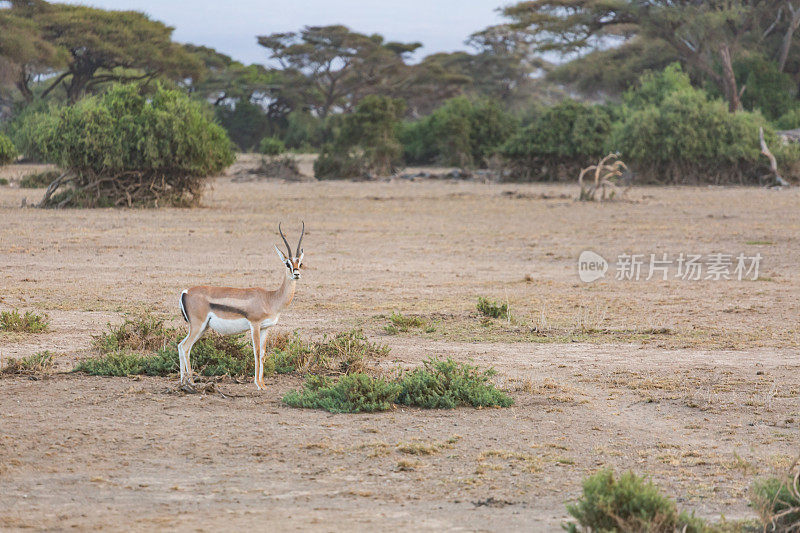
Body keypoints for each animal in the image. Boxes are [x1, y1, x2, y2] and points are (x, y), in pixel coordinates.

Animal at [179, 222, 306, 388]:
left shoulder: (265, 328)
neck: (270, 298)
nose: (296, 274)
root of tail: (185, 291)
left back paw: (183, 381)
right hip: (197, 326)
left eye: (300, 263)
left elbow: (263, 354)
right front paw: (257, 384)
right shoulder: (255, 325)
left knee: (181, 346)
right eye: (287, 263)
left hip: (203, 328)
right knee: (186, 347)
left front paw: (263, 385)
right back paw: (191, 382)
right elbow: (256, 352)